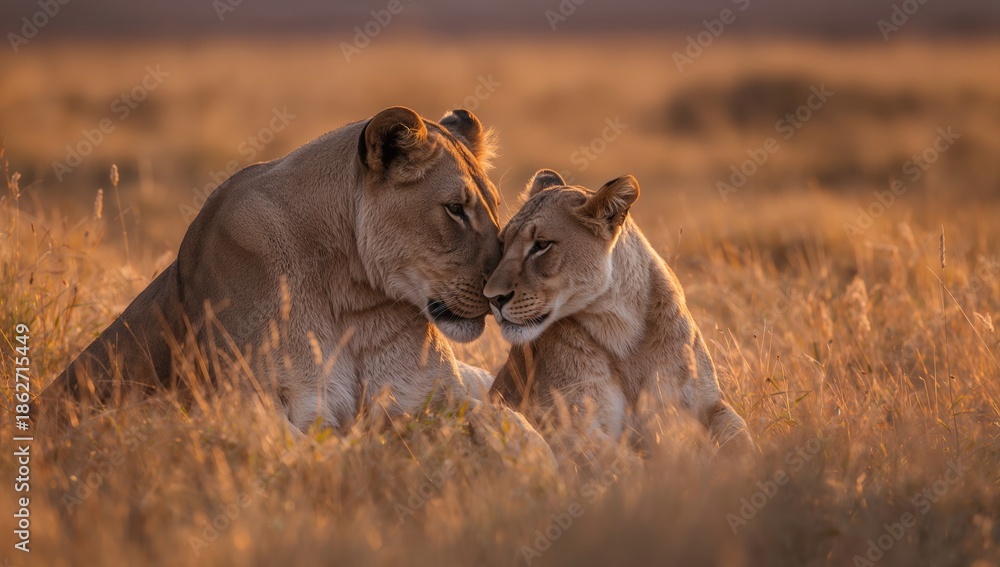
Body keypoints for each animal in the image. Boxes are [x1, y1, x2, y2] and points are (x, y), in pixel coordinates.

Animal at [35, 106, 505, 432]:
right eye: (455, 209)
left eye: (496, 207)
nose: (500, 292)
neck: (351, 293)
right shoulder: (248, 401)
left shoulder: (431, 394)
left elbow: (501, 423)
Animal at [485, 170, 753, 455]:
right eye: (502, 244)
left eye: (541, 244)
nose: (492, 298)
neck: (622, 328)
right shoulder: (571, 425)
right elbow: (626, 463)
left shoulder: (710, 404)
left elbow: (739, 439)